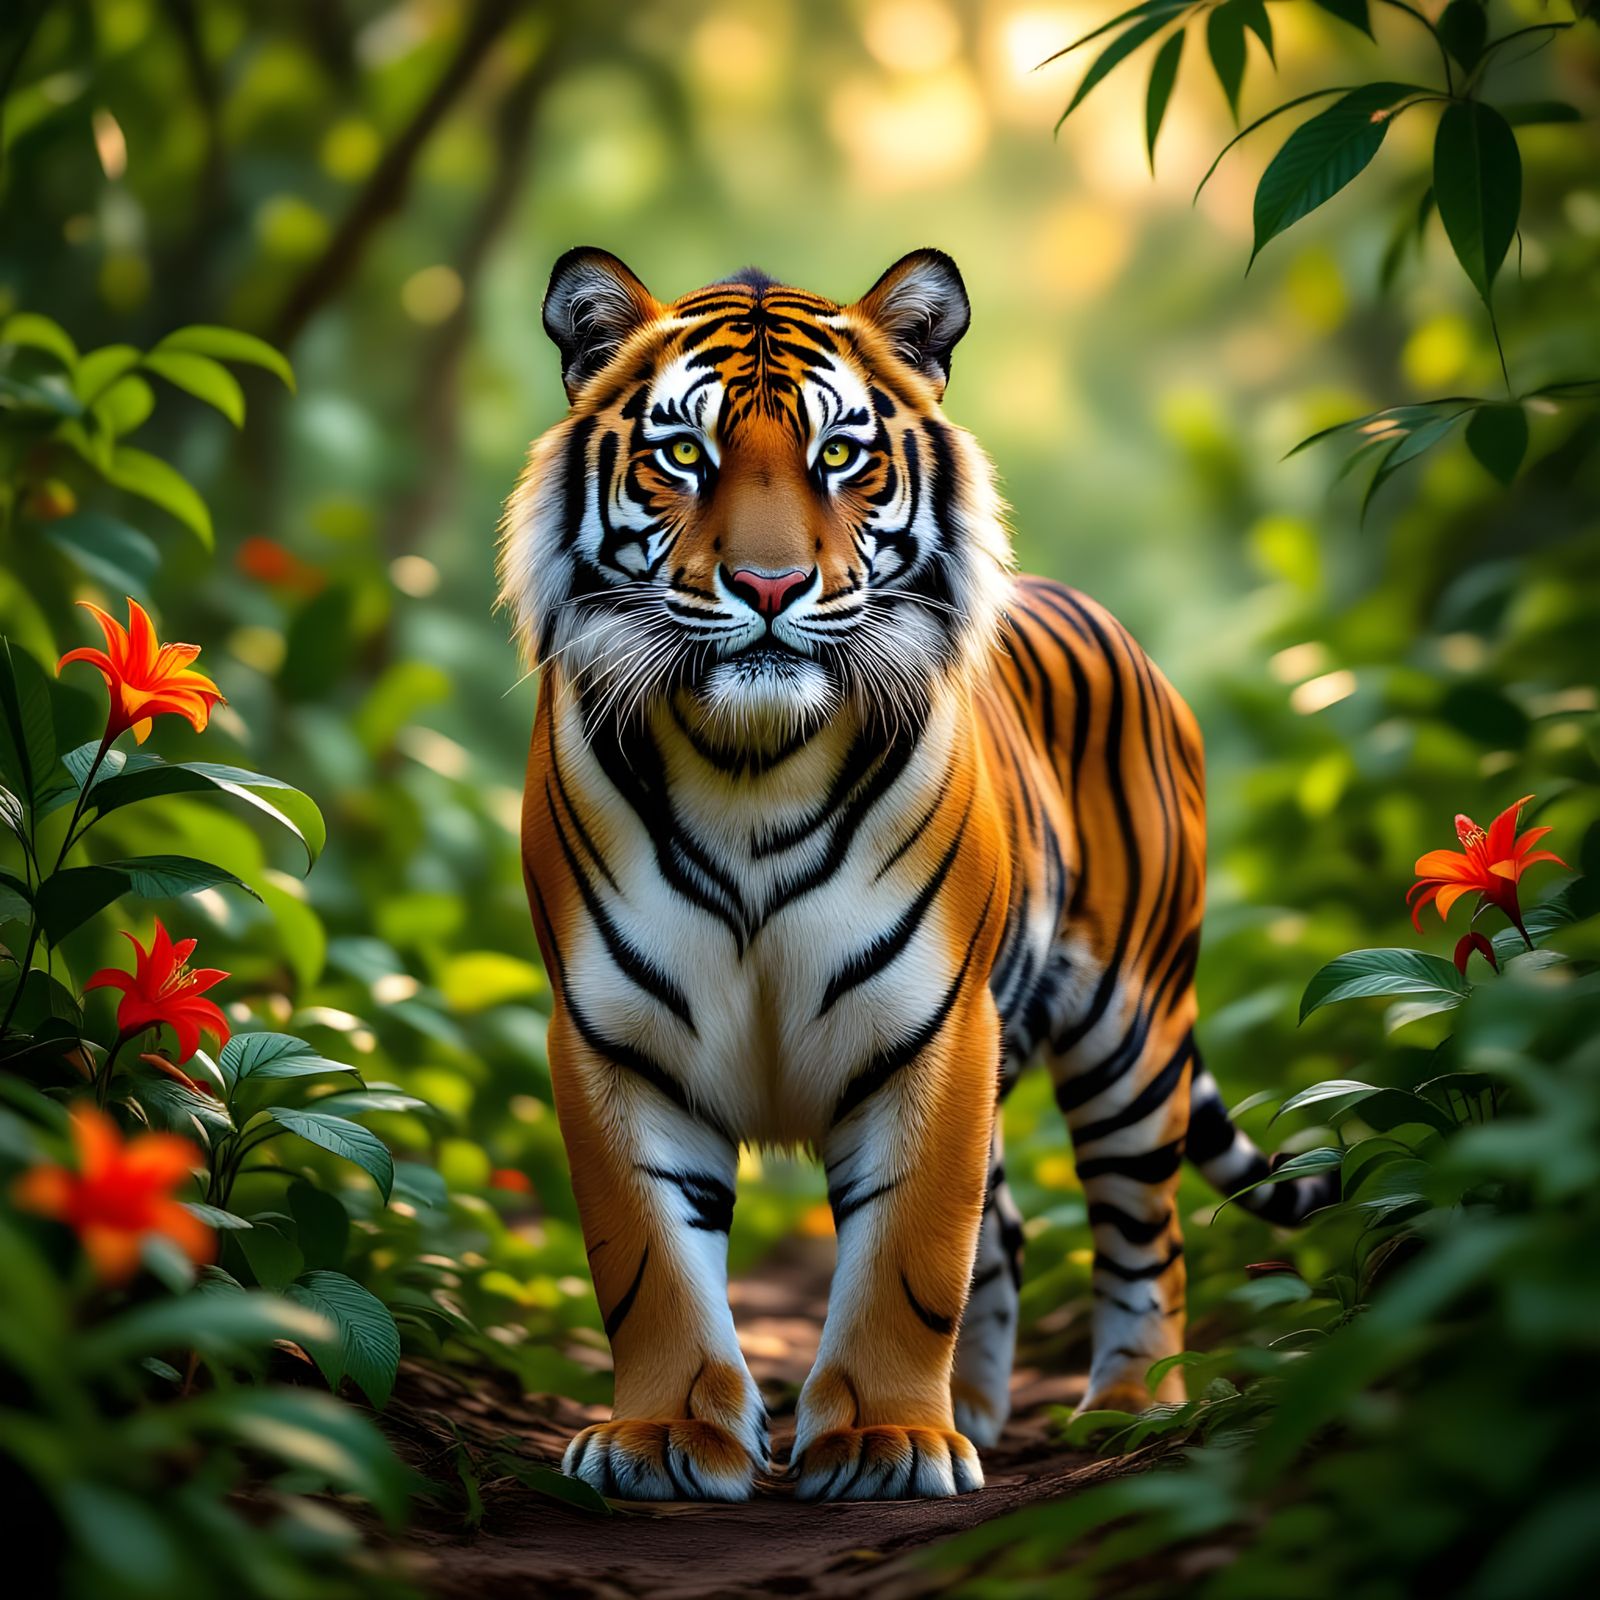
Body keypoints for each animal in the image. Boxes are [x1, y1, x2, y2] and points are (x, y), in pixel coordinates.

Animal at [500, 247, 1335, 1503]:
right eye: (683, 454)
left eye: (839, 454)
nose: (767, 583)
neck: (751, 765)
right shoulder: (612, 1036)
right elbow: (648, 1261)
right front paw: (666, 1437)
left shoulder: (936, 1026)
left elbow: (910, 1253)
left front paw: (886, 1441)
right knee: (1015, 1233)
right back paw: (982, 1411)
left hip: (1129, 1033)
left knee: (1145, 1232)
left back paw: (1125, 1409)